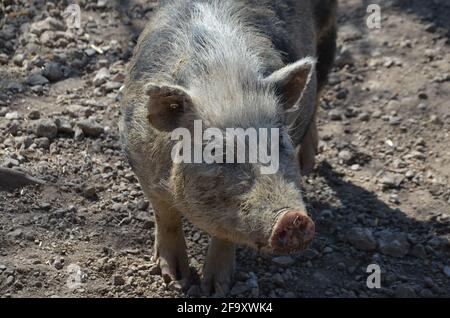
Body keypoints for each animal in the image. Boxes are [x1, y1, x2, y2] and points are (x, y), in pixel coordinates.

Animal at [121, 0, 336, 296]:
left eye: (280, 142)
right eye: (217, 153)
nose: (293, 218)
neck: (225, 83)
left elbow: (224, 234)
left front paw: (216, 290)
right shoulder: (138, 157)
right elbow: (165, 215)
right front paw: (174, 279)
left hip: (328, 33)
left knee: (319, 90)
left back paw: (308, 163)